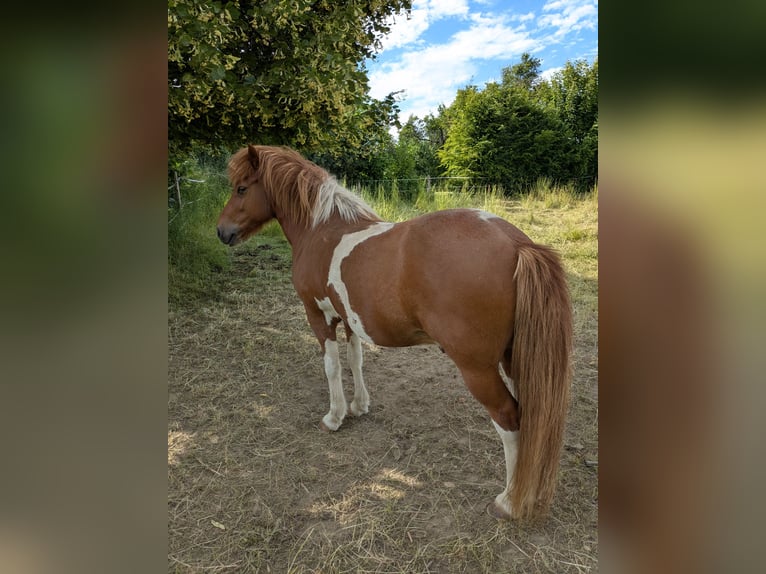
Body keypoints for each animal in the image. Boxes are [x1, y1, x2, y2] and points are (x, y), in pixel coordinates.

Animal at [217, 145, 573, 520]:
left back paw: (509, 501)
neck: (322, 230)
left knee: (510, 418)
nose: (221, 231)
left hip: (479, 369)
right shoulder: (350, 317)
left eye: (241, 188)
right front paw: (359, 405)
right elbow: (356, 359)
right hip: (514, 358)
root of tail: (517, 244)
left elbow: (332, 367)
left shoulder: (318, 315)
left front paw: (334, 416)